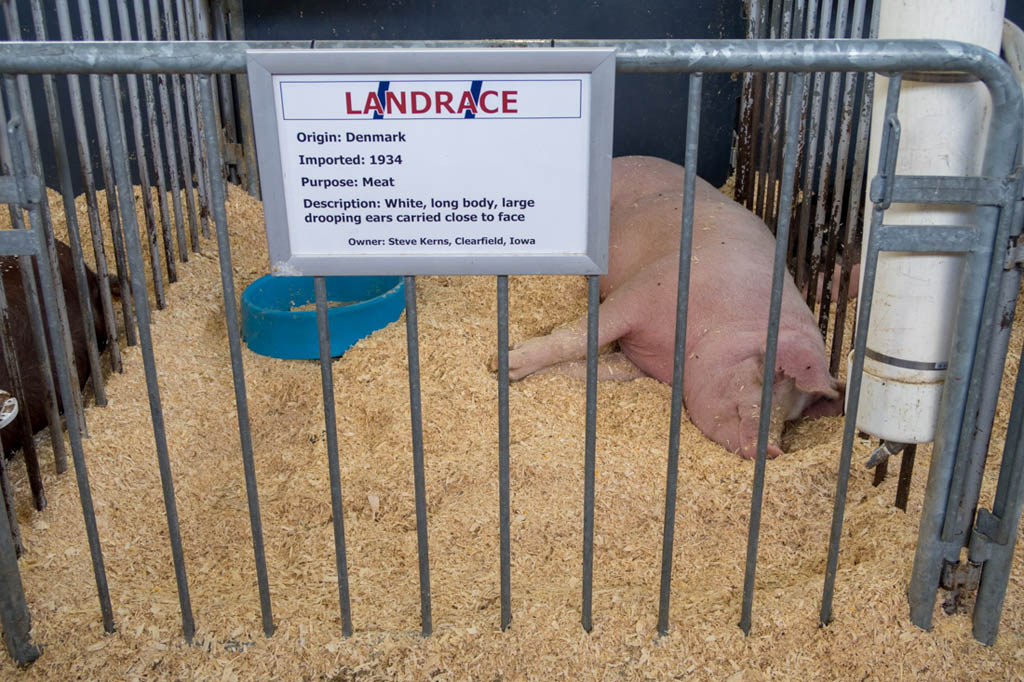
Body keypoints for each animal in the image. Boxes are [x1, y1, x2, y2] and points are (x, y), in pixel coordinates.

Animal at [499, 155, 843, 456]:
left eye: (791, 416)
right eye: (765, 377)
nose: (772, 450)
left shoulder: (641, 359)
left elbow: (595, 367)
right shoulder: (641, 292)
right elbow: (576, 337)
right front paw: (504, 362)